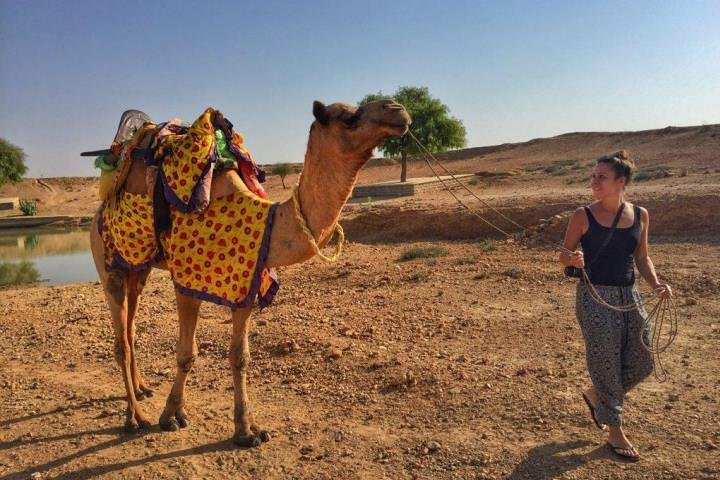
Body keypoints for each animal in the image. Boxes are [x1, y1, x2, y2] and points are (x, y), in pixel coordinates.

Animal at [90, 99, 411, 447]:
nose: (398, 110)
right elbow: (187, 353)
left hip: (139, 267)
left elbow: (240, 356)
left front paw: (248, 430)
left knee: (130, 328)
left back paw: (142, 389)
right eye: (350, 118)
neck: (262, 218)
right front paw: (171, 416)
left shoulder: (245, 282)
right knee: (120, 339)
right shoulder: (187, 281)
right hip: (107, 262)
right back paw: (135, 417)